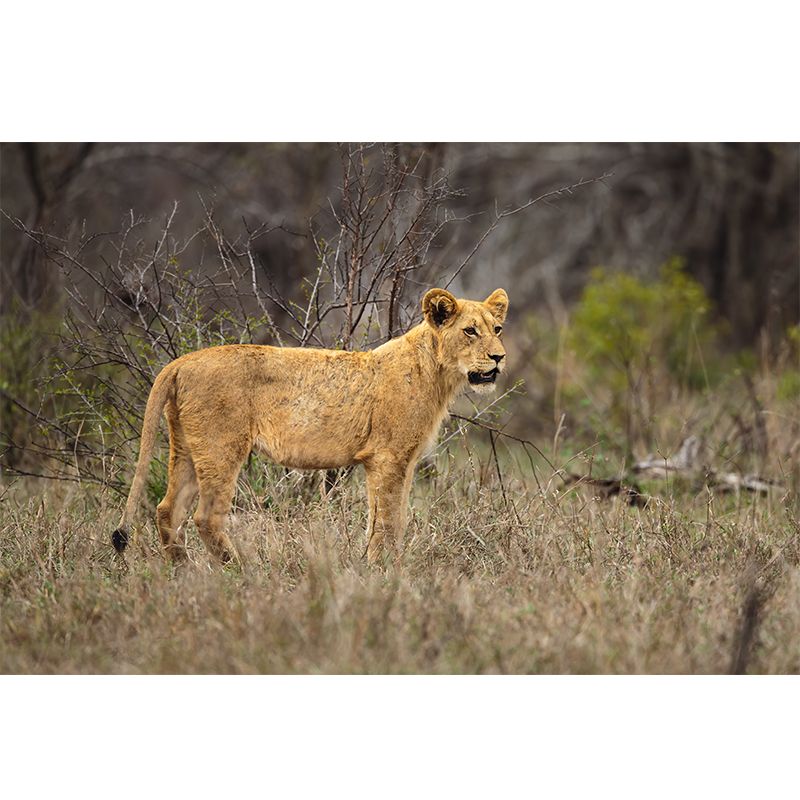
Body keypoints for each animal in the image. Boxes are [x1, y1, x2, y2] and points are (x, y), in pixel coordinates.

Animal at [111, 287, 509, 564]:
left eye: (497, 328)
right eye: (470, 331)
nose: (499, 357)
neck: (437, 373)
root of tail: (180, 362)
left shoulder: (402, 462)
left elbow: (394, 518)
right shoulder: (387, 458)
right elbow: (387, 521)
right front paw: (383, 571)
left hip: (187, 449)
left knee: (167, 510)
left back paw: (184, 571)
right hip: (221, 448)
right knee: (205, 517)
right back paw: (239, 570)